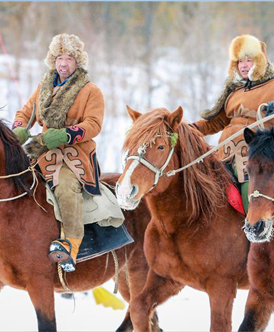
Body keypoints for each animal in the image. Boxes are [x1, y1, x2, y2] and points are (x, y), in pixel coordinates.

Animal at [115, 106, 250, 332]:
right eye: (129, 145)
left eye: (161, 146)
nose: (125, 191)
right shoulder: (168, 278)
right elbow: (139, 308)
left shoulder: (222, 288)